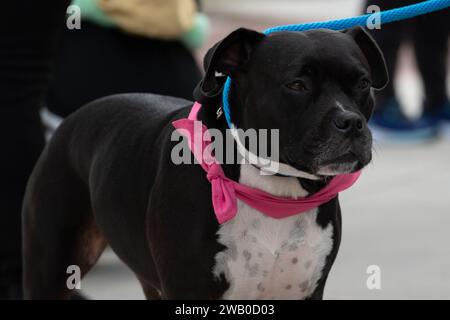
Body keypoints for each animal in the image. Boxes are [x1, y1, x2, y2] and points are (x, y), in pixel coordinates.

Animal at [22, 26, 386, 298]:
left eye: (363, 83)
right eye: (297, 84)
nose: (350, 122)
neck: (272, 187)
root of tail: (69, 121)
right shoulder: (189, 290)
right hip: (51, 268)